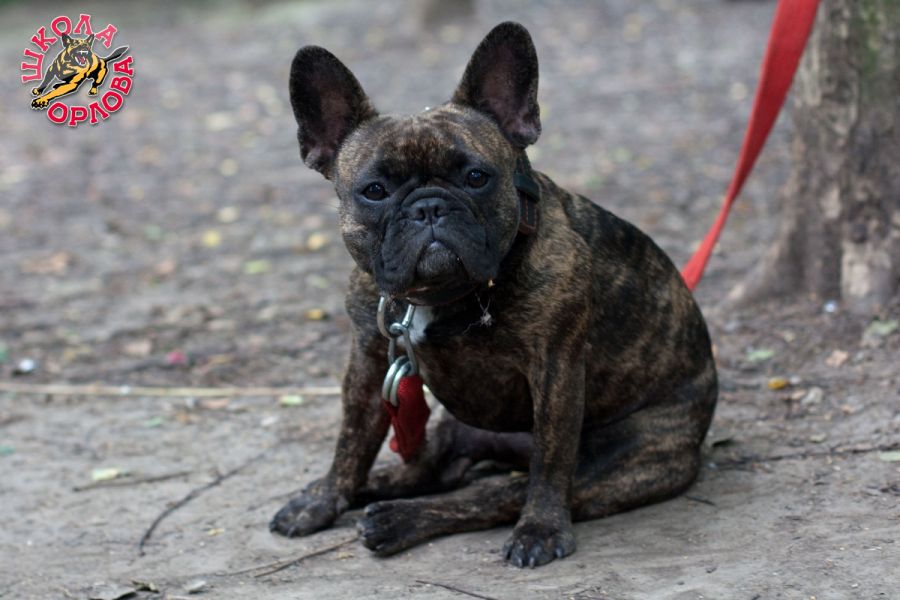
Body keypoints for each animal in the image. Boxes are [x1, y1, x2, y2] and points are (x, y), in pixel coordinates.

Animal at [270, 22, 717, 568]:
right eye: (375, 190)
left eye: (476, 177)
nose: (429, 207)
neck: (439, 295)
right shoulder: (371, 358)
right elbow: (353, 438)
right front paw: (325, 498)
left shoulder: (556, 369)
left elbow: (551, 460)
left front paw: (541, 528)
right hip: (456, 426)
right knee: (435, 466)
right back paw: (370, 489)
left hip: (622, 458)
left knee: (496, 493)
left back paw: (398, 520)